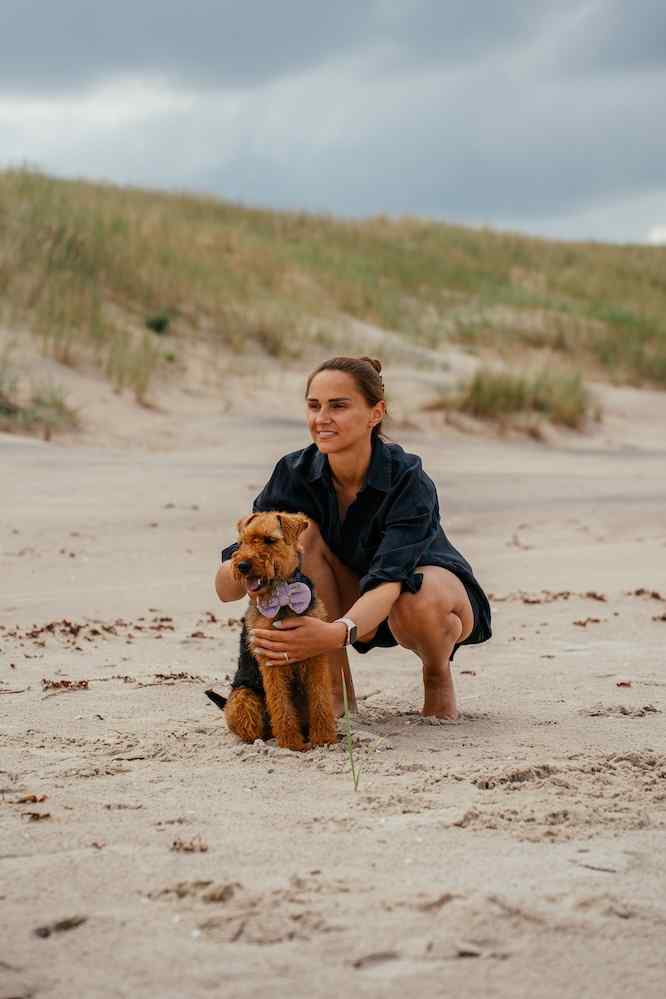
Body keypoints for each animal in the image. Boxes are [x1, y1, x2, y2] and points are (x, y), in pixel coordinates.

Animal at [216, 511, 337, 752]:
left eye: (270, 540)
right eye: (242, 542)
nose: (242, 565)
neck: (283, 595)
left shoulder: (316, 655)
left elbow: (321, 699)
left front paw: (324, 738)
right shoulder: (271, 661)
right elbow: (280, 703)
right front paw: (291, 742)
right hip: (243, 698)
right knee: (255, 729)